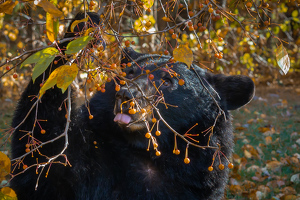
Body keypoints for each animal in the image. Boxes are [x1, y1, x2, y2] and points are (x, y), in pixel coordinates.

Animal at [11, 11, 255, 200]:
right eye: (129, 73)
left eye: (167, 81)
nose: (126, 95)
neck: (148, 153)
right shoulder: (92, 161)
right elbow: (43, 167)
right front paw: (83, 26)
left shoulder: (196, 183)